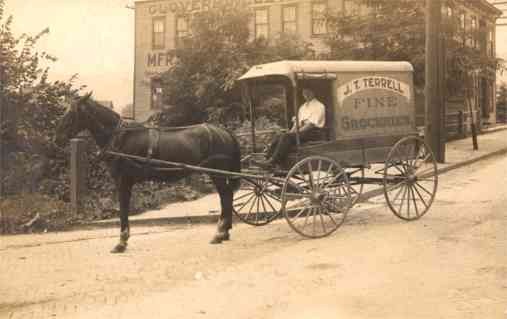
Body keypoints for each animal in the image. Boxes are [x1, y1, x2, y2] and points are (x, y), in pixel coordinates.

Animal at [56, 94, 243, 254]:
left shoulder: (123, 181)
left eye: (72, 113)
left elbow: (123, 209)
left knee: (225, 197)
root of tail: (225, 132)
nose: (57, 138)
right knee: (227, 197)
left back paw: (220, 233)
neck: (121, 138)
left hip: (217, 174)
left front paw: (121, 242)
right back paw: (225, 232)